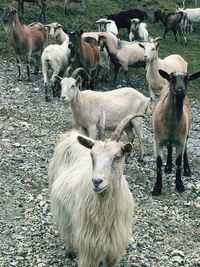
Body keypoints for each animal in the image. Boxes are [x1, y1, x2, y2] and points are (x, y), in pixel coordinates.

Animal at [48, 114, 143, 266]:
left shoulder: (115, 246)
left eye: (117, 157)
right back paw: (70, 251)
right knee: (68, 229)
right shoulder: (89, 246)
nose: (97, 182)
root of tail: (70, 134)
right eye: (92, 155)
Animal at [152, 69, 200, 197]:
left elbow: (178, 162)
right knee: (169, 147)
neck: (172, 124)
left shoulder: (180, 141)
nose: (180, 91)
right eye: (171, 78)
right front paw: (157, 188)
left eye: (187, 78)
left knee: (185, 151)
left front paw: (179, 185)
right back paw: (168, 167)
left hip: (186, 134)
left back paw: (187, 170)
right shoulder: (157, 141)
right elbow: (159, 164)